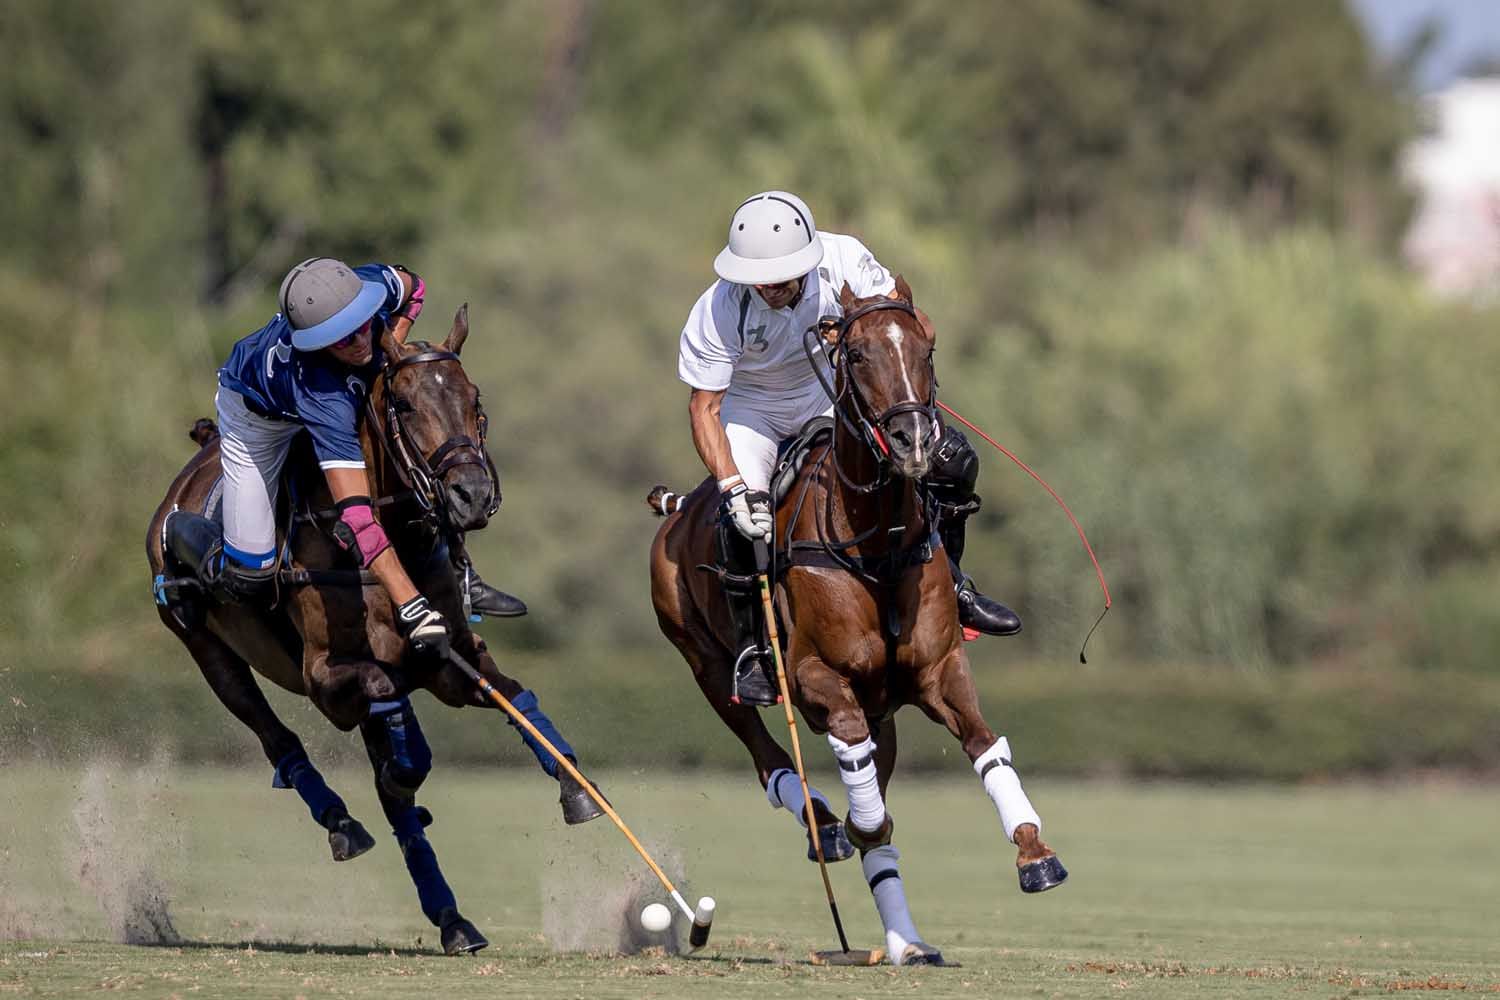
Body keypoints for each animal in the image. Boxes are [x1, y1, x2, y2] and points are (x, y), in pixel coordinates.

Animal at [146, 307, 600, 953]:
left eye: (475, 399)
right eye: (404, 405)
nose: (471, 495)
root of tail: (193, 467)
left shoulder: (448, 662)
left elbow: (514, 698)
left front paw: (575, 788)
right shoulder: (325, 679)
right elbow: (395, 737)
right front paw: (400, 773)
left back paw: (453, 919)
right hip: (210, 652)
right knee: (279, 737)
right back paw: (342, 822)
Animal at [648, 277, 1068, 965]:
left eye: (927, 348)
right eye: (859, 354)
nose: (916, 442)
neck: (875, 537)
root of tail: (680, 507)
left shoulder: (938, 669)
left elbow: (986, 747)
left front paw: (1036, 855)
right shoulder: (815, 676)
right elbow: (862, 791)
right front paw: (849, 823)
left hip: (883, 708)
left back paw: (908, 942)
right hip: (706, 668)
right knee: (770, 759)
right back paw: (825, 825)